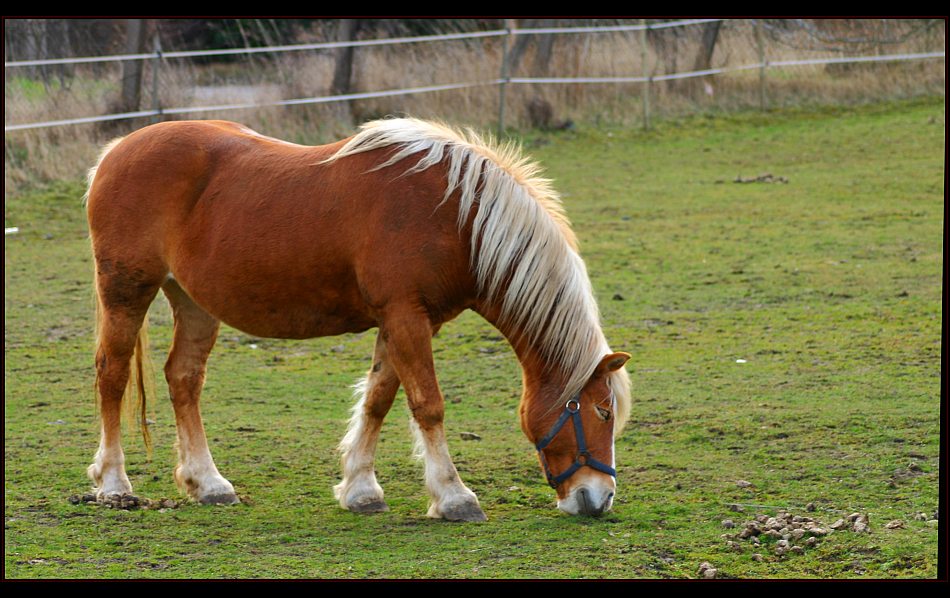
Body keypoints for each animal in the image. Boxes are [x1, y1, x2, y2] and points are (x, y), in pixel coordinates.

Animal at [83, 117, 632, 520]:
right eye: (602, 412)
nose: (599, 498)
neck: (456, 218)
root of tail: (114, 152)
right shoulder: (407, 316)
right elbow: (427, 405)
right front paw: (453, 496)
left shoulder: (404, 321)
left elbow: (378, 399)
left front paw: (361, 488)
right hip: (126, 291)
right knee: (112, 374)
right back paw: (113, 483)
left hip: (194, 303)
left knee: (184, 378)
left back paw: (208, 483)